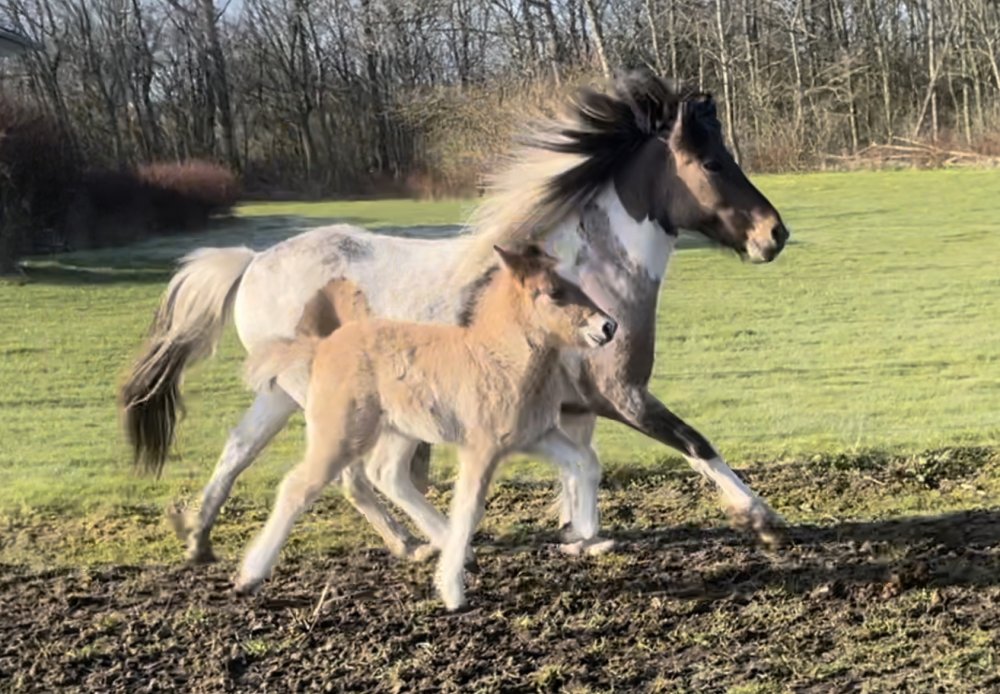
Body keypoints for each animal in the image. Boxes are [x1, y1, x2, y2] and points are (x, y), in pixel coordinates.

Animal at [121, 69, 791, 565]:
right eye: (712, 163)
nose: (775, 234)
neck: (592, 270)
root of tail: (254, 261)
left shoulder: (575, 408)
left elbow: (582, 469)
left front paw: (581, 536)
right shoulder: (622, 394)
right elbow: (694, 442)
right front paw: (763, 520)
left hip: (283, 394)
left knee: (245, 450)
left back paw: (205, 540)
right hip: (326, 399)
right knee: (357, 474)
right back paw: (434, 541)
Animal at [236, 244, 617, 609]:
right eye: (554, 292)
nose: (608, 327)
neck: (500, 359)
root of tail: (322, 347)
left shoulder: (534, 435)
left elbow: (585, 461)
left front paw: (586, 532)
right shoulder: (482, 448)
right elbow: (469, 508)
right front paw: (452, 593)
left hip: (400, 430)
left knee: (386, 474)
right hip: (342, 433)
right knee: (298, 486)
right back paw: (249, 576)